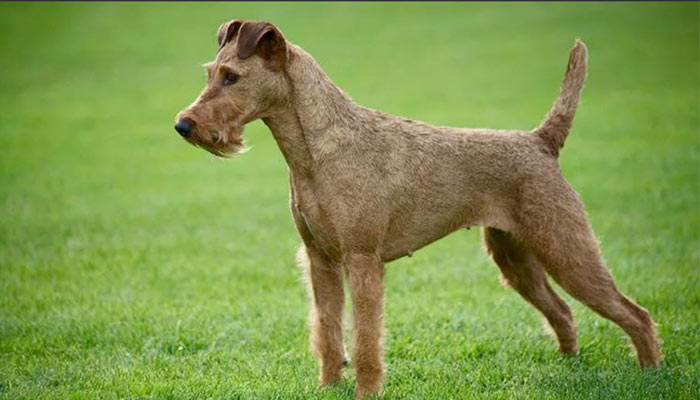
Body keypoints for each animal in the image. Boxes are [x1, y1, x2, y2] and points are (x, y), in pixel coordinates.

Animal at [175, 21, 660, 396]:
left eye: (232, 76)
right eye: (211, 73)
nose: (183, 125)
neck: (318, 149)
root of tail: (540, 141)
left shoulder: (362, 259)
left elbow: (365, 341)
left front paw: (366, 392)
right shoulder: (319, 260)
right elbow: (328, 333)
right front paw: (328, 387)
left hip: (566, 249)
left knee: (635, 314)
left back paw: (651, 374)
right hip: (515, 258)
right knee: (562, 312)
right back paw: (569, 367)